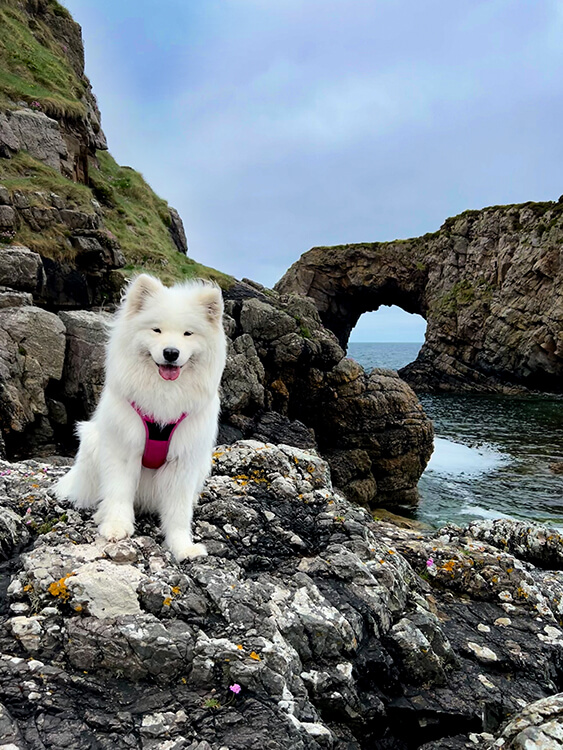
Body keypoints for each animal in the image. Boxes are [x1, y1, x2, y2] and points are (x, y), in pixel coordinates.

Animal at [54, 274, 227, 560]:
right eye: (156, 330)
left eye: (188, 333)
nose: (171, 353)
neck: (163, 396)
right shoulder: (124, 448)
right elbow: (118, 492)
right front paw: (115, 527)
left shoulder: (182, 460)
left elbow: (178, 512)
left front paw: (182, 546)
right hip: (92, 442)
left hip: (202, 463)